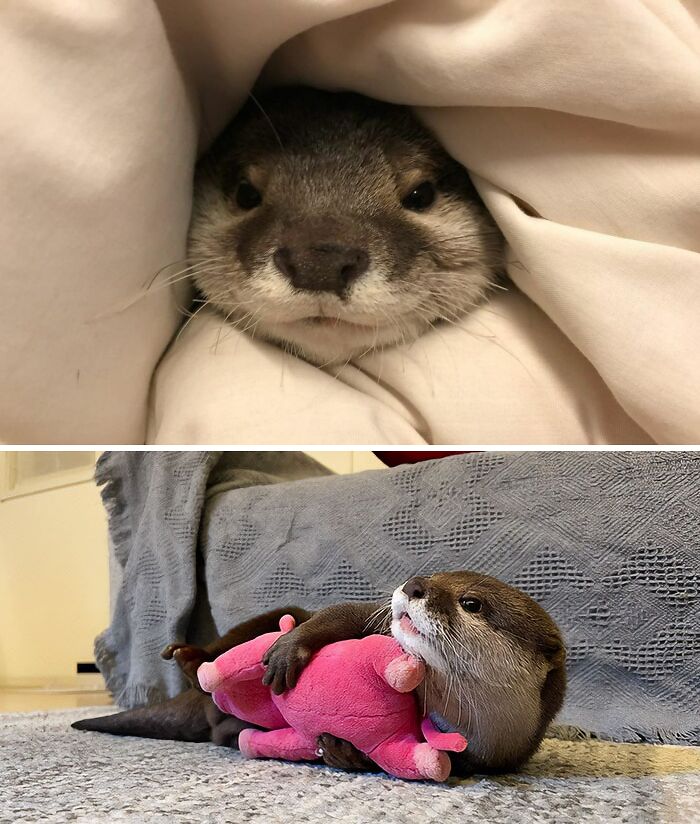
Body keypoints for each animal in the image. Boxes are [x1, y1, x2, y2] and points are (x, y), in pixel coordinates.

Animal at [73, 572, 565, 776]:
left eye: (471, 603)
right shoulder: (370, 618)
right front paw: (288, 650)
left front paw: (342, 750)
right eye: (436, 573)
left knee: (226, 731)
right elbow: (337, 614)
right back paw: (192, 660)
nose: (414, 585)